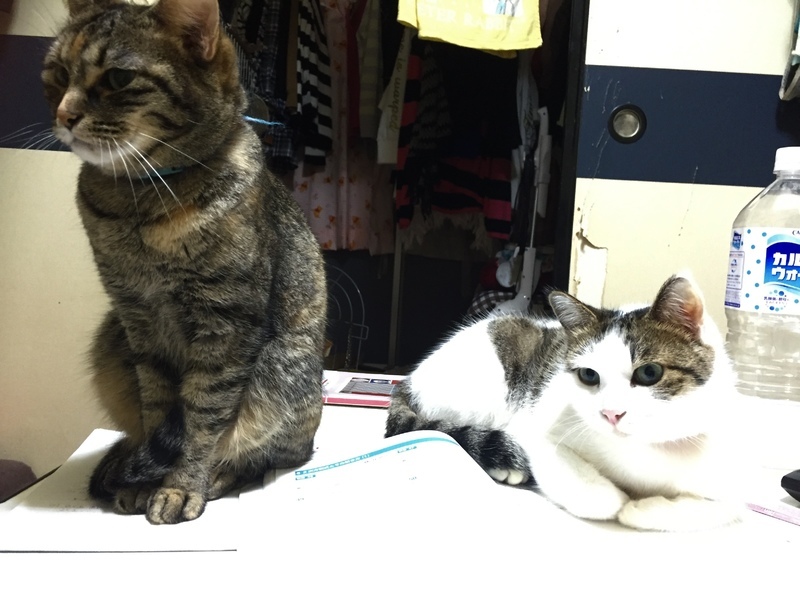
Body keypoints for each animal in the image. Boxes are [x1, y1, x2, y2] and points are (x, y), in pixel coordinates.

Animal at [42, 0, 327, 524]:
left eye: (118, 78)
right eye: (56, 74)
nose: (64, 113)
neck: (140, 201)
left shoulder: (226, 321)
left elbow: (204, 416)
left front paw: (180, 485)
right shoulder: (138, 320)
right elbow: (157, 408)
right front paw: (146, 481)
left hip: (281, 372)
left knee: (264, 455)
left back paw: (217, 476)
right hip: (110, 342)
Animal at [386, 275, 745, 531]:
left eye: (650, 373)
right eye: (588, 375)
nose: (611, 413)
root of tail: (408, 381)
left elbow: (724, 508)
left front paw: (643, 508)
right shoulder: (537, 433)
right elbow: (599, 499)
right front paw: (621, 503)